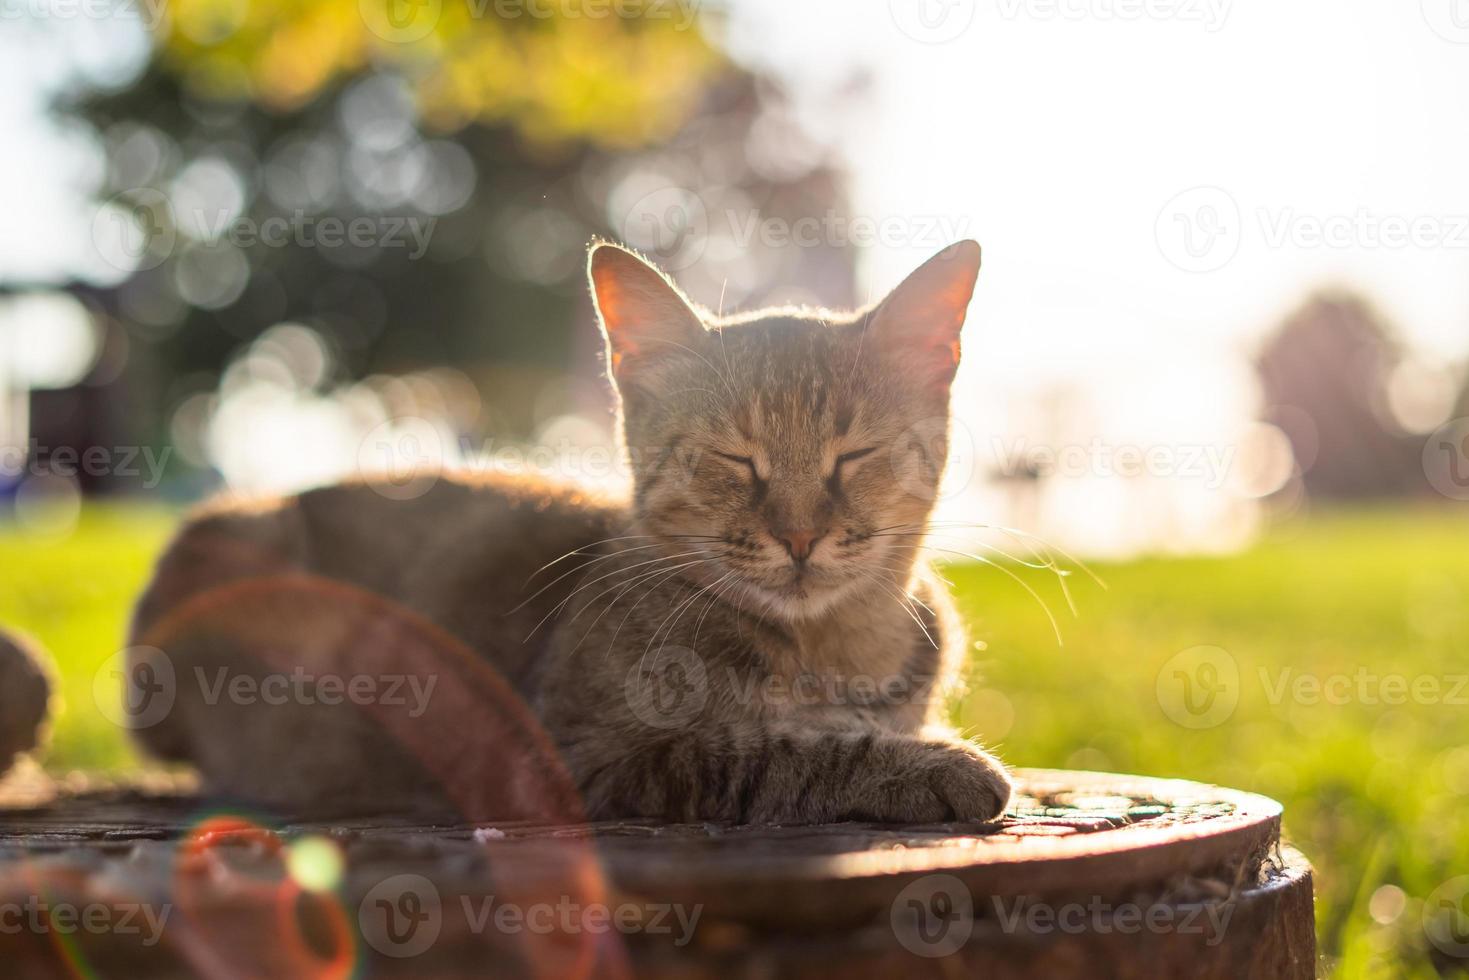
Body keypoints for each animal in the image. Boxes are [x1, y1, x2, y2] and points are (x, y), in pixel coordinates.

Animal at [129, 240, 1010, 822]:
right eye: (733, 458)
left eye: (852, 455)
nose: (798, 537)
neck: (829, 651)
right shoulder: (573, 755)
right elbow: (767, 751)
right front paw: (930, 764)